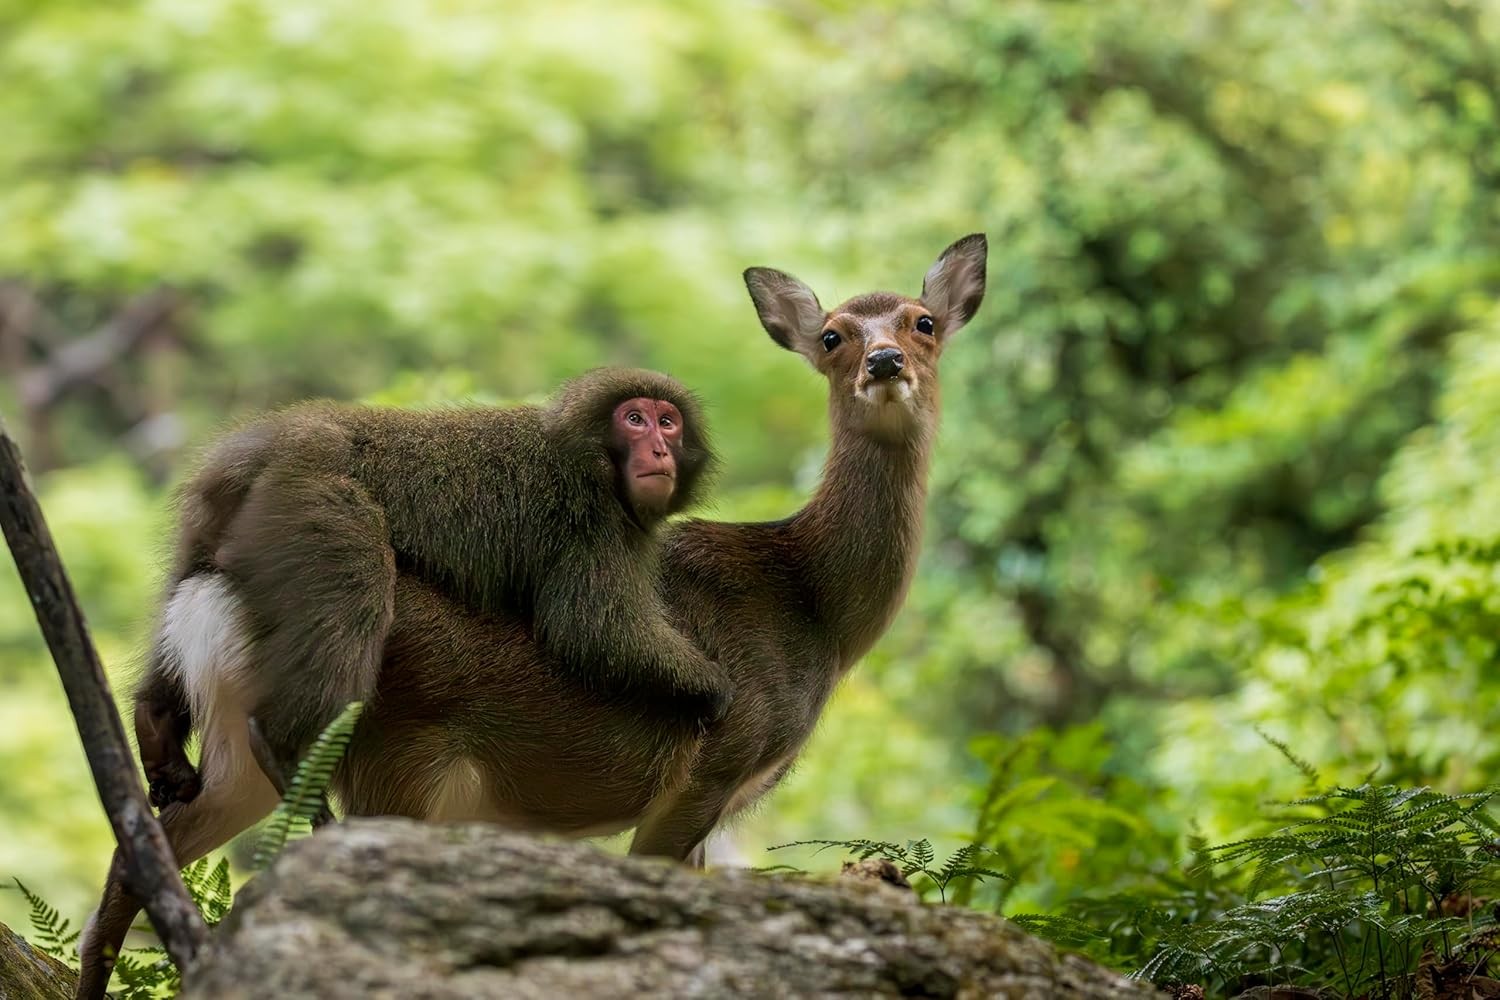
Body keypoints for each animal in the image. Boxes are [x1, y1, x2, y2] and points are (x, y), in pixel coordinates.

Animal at [133, 366, 729, 813]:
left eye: (668, 423)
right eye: (635, 419)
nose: (659, 451)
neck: (594, 460)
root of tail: (269, 442)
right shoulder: (591, 521)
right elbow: (592, 632)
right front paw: (712, 689)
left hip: (212, 518)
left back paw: (156, 720)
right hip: (309, 499)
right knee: (354, 587)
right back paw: (286, 748)